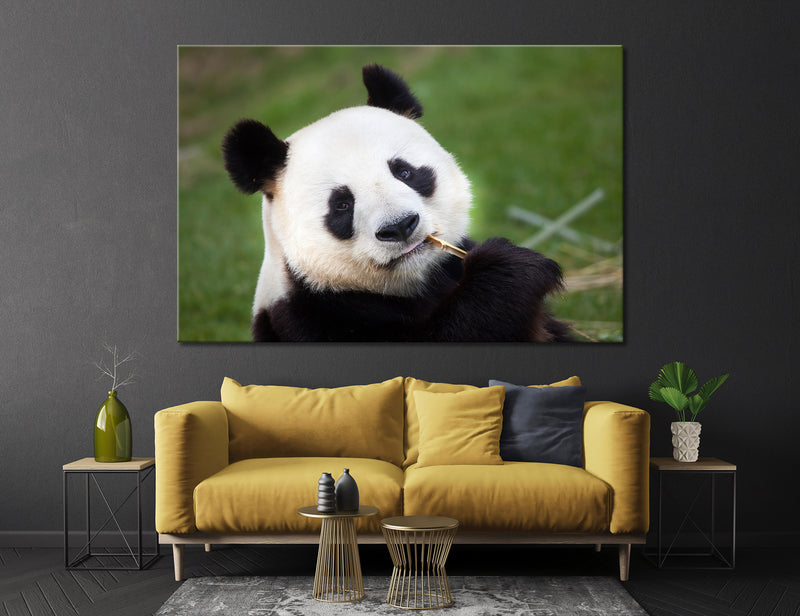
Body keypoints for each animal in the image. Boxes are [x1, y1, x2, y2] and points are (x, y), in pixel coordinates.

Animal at [222, 64, 571, 342]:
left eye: (404, 172)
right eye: (342, 205)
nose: (400, 226)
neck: (413, 285)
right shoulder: (307, 317)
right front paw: (510, 268)